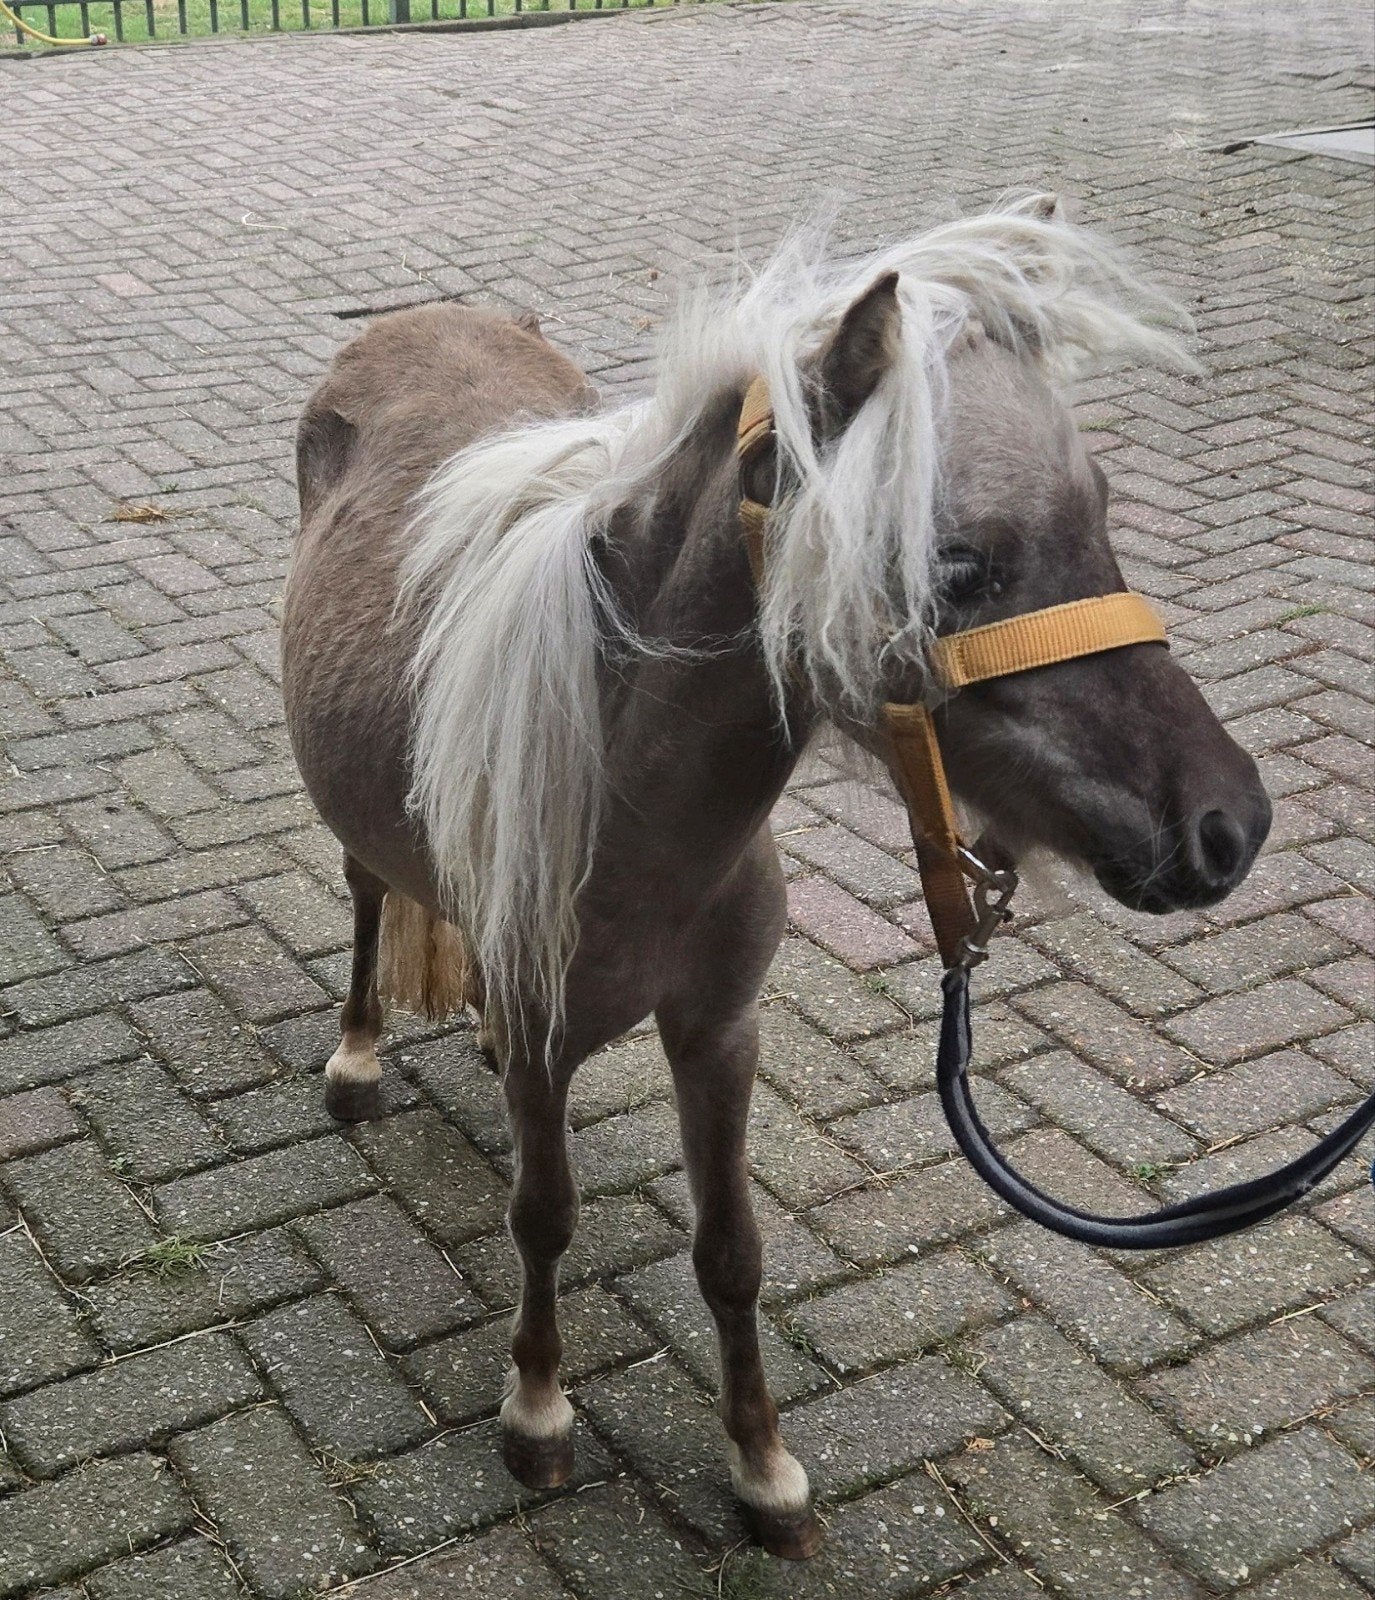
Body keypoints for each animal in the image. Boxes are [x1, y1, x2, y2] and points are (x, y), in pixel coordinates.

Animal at [281, 196, 1271, 1560]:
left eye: (1103, 512)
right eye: (955, 566)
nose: (1229, 824)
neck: (630, 811)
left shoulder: (720, 1033)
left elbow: (732, 1251)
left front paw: (764, 1470)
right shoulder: (544, 1036)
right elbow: (544, 1214)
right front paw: (537, 1412)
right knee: (370, 891)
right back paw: (358, 1055)